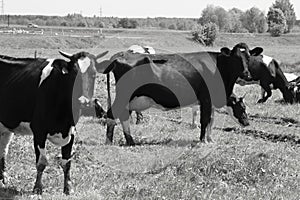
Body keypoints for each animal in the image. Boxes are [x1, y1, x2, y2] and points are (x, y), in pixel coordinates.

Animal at [0, 50, 108, 195]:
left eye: (94, 74)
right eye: (74, 73)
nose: (84, 101)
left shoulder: (71, 132)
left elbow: (67, 162)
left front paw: (68, 188)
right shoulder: (39, 131)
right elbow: (41, 162)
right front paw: (37, 188)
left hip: (6, 127)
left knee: (3, 150)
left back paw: (4, 179)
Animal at [95, 42, 251, 145]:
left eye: (248, 57)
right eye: (237, 57)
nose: (247, 122)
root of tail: (120, 56)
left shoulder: (210, 101)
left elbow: (211, 120)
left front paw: (210, 139)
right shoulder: (206, 99)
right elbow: (204, 120)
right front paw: (202, 141)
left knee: (123, 116)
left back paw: (130, 141)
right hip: (124, 95)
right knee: (112, 114)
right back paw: (110, 142)